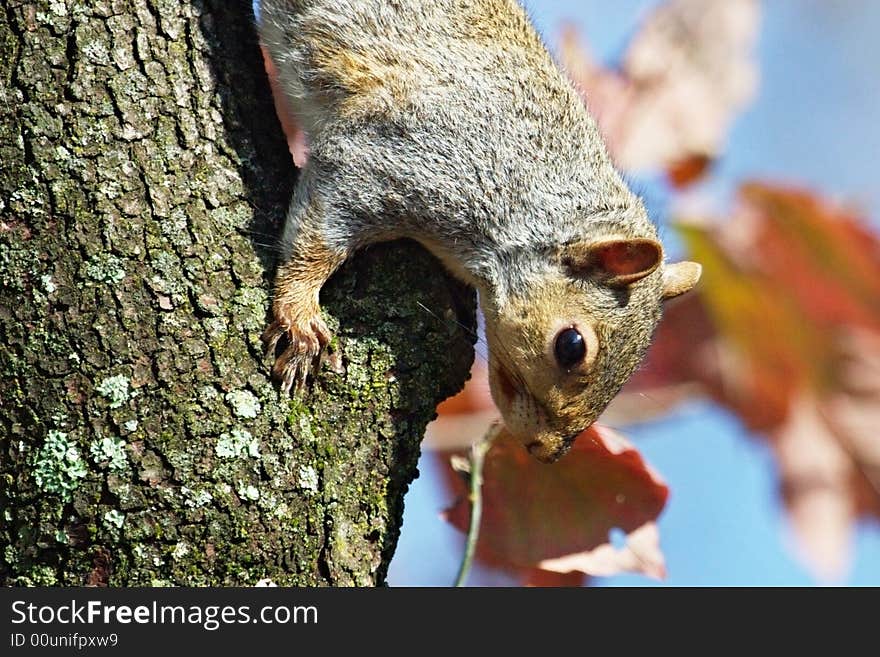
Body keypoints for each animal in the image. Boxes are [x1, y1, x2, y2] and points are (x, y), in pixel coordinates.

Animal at [254, 0, 700, 462]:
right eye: (571, 346)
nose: (546, 451)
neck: (526, 192)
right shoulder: (396, 157)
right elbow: (321, 231)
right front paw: (300, 315)